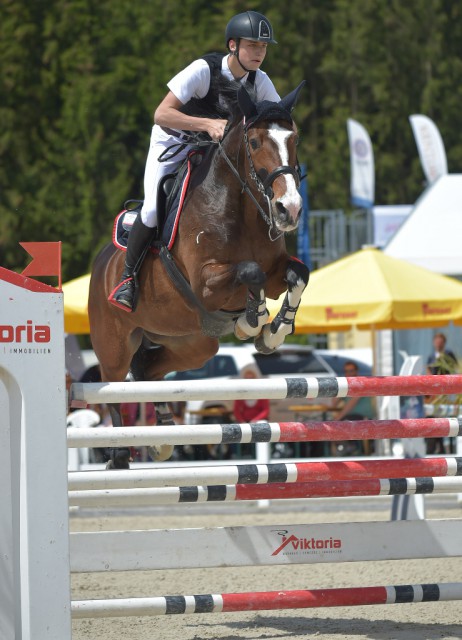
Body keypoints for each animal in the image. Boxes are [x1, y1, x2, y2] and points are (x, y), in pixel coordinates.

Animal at [87, 82, 310, 468]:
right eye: (255, 143)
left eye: (293, 138)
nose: (289, 210)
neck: (241, 206)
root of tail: (100, 265)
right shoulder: (207, 284)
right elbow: (249, 272)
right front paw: (253, 320)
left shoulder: (275, 272)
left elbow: (299, 273)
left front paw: (275, 330)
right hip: (113, 344)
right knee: (112, 387)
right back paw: (118, 453)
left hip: (192, 343)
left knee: (147, 368)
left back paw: (162, 436)